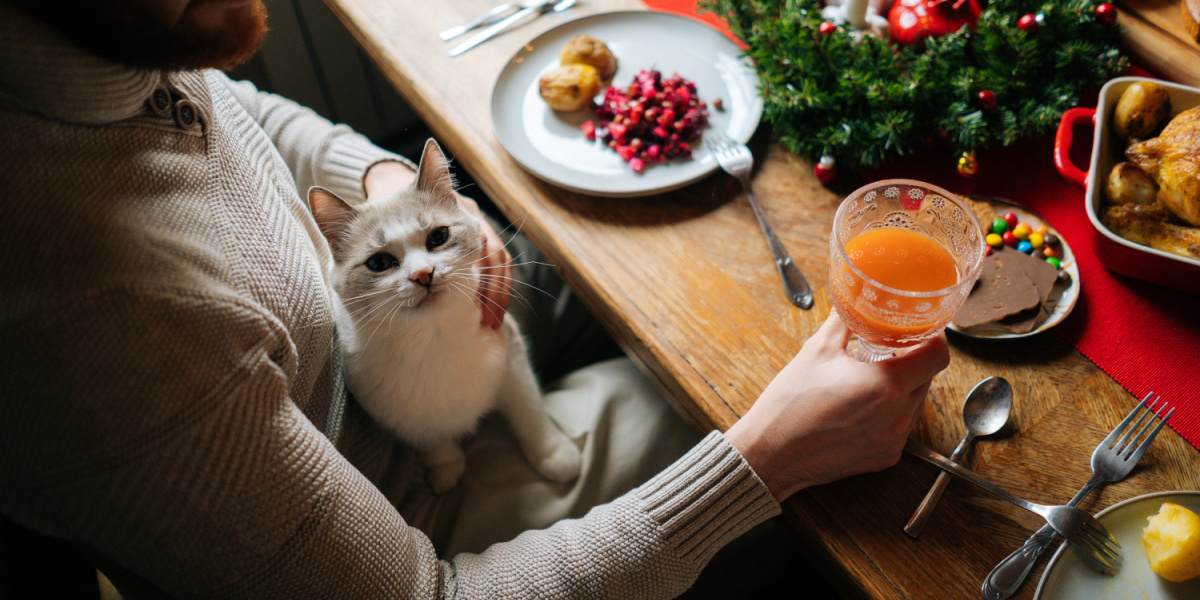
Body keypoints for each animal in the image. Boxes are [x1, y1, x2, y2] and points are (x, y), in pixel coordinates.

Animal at [309, 139, 580, 492]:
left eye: (438, 237)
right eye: (379, 263)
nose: (423, 274)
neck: (432, 339)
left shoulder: (513, 359)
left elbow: (530, 412)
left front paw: (554, 454)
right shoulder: (392, 410)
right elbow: (429, 437)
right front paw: (445, 468)